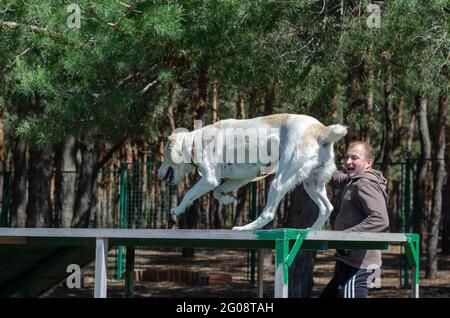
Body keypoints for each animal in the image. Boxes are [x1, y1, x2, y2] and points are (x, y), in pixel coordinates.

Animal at [158, 113, 348, 231]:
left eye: (163, 155)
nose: (159, 175)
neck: (193, 143)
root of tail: (321, 131)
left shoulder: (209, 179)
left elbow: (190, 193)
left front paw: (177, 209)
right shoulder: (242, 177)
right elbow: (218, 192)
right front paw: (228, 199)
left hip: (279, 181)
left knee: (268, 213)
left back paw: (244, 228)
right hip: (312, 184)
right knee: (327, 208)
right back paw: (312, 229)